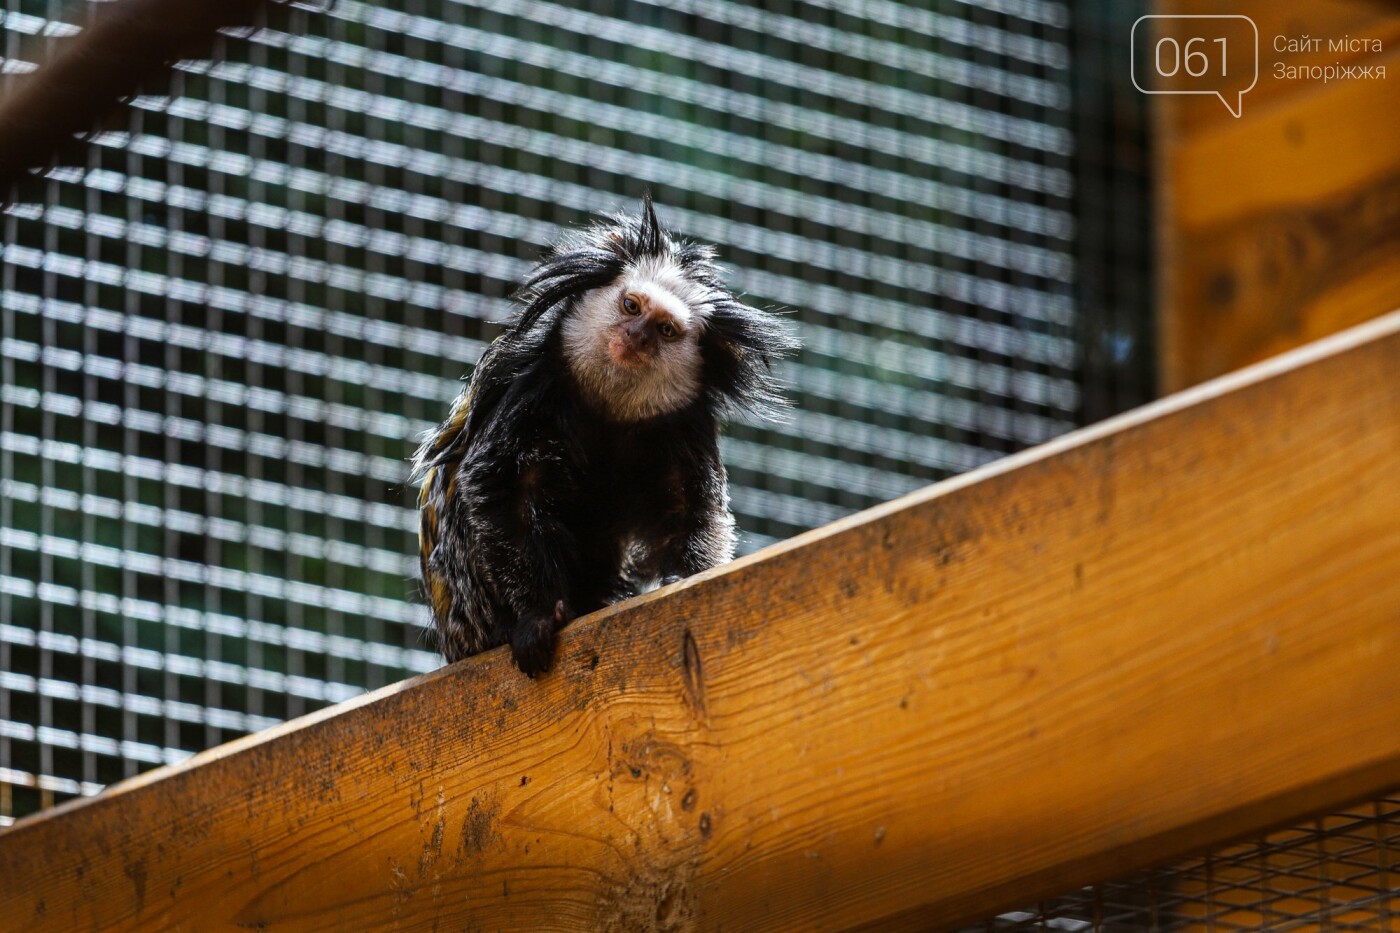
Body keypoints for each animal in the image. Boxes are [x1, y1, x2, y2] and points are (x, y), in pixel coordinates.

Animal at [408, 196, 795, 675]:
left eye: (666, 330)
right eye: (630, 306)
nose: (636, 336)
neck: (609, 408)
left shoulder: (686, 423)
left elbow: (694, 508)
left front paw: (685, 576)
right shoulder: (532, 385)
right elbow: (499, 490)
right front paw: (538, 616)